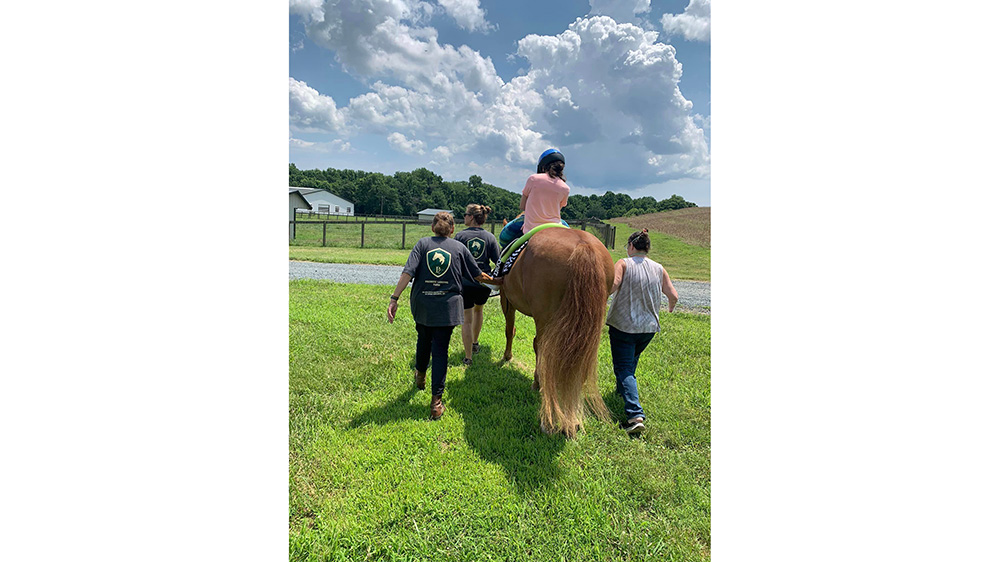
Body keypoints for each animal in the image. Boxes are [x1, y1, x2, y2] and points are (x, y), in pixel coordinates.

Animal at [500, 225, 616, 436]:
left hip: (544, 316)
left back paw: (538, 383)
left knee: (541, 346)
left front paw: (507, 356)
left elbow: (509, 329)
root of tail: (583, 245)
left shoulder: (506, 298)